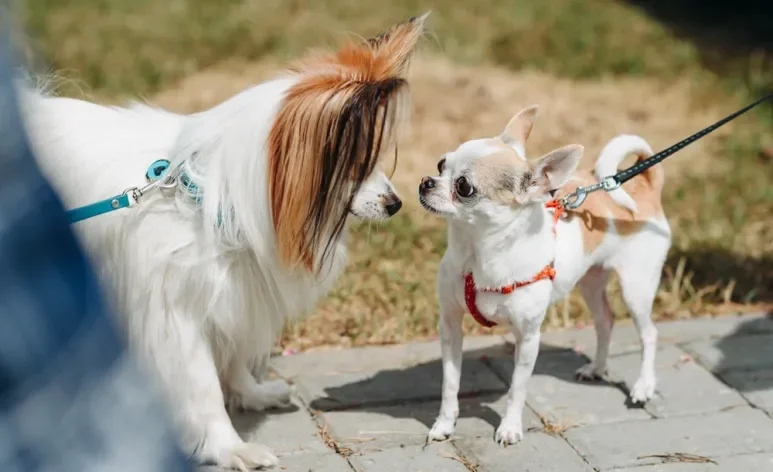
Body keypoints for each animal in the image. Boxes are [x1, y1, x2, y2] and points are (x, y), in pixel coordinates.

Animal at [16, 13, 428, 468]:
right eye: (356, 164)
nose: (396, 204)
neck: (199, 194)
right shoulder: (175, 316)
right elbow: (203, 389)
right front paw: (230, 447)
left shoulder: (233, 294)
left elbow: (232, 360)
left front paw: (252, 394)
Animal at [416, 106, 668, 446]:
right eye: (442, 164)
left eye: (464, 186)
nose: (426, 181)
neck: (478, 252)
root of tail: (643, 185)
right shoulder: (451, 326)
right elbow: (450, 384)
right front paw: (444, 424)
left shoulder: (528, 337)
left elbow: (517, 389)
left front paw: (509, 427)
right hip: (591, 283)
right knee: (606, 320)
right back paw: (597, 368)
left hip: (636, 288)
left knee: (648, 333)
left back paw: (643, 386)